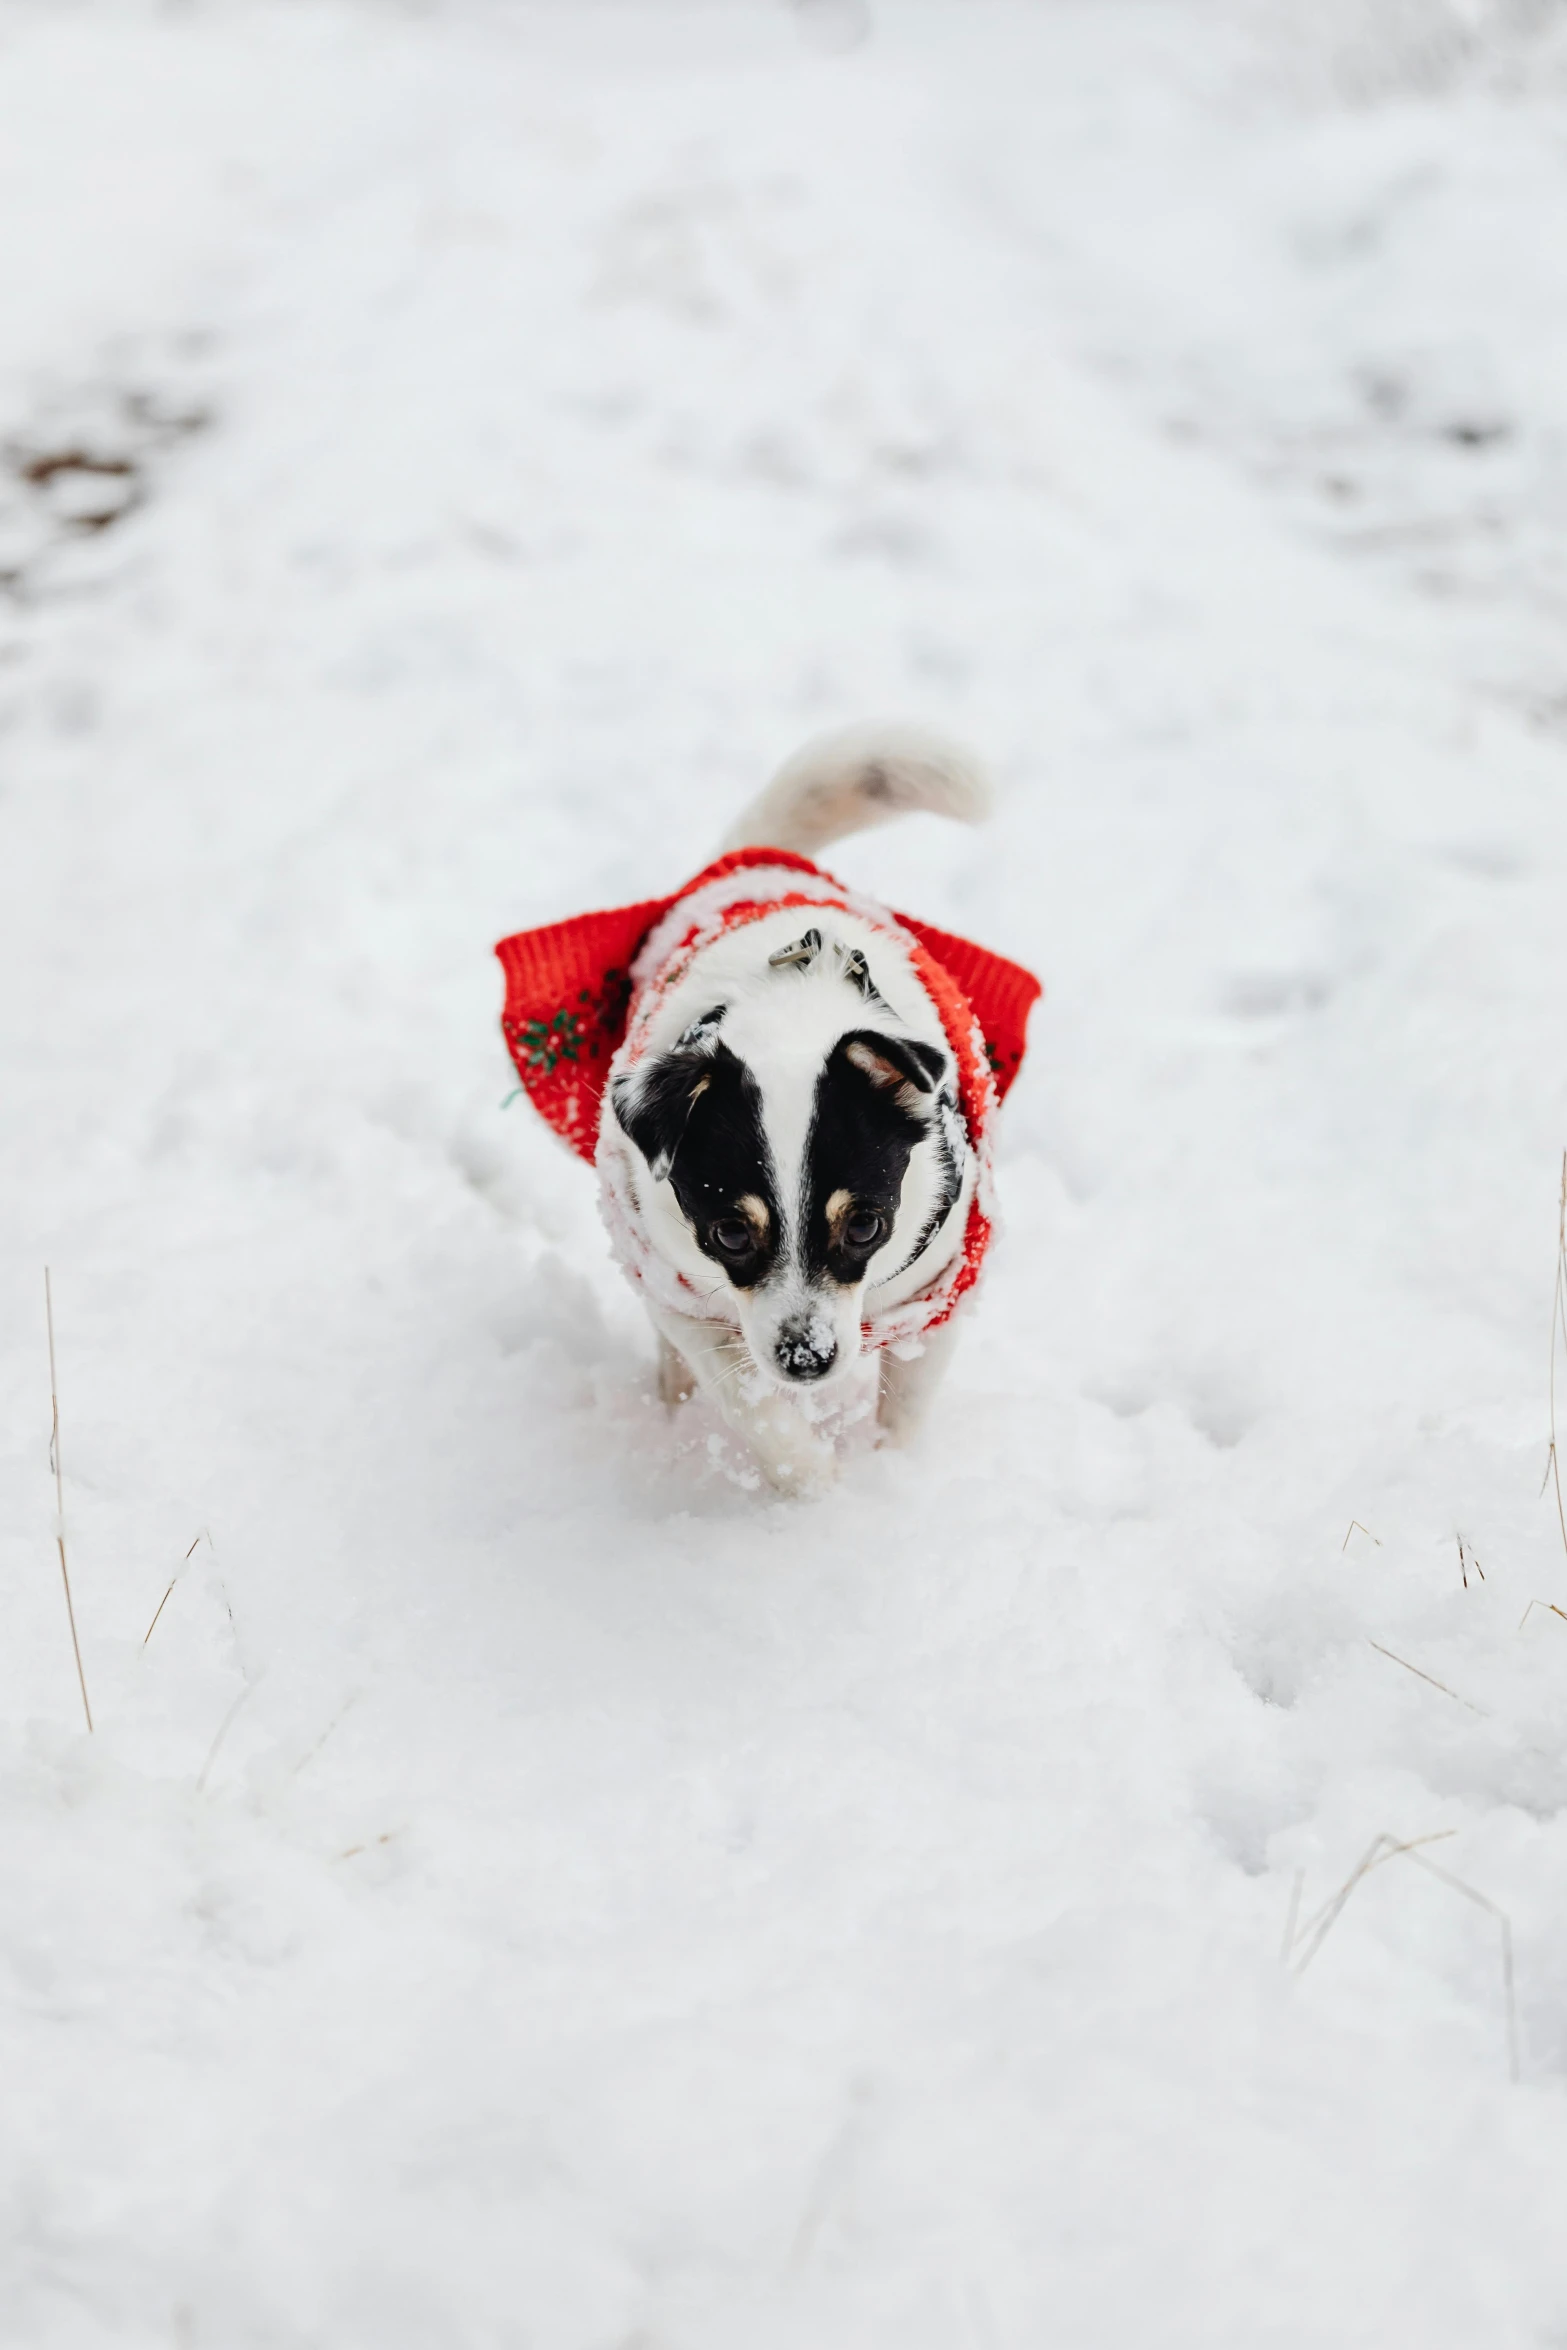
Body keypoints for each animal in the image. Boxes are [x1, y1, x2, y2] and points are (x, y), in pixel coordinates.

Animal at [500, 714, 1043, 1485]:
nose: (806, 1358)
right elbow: (753, 1408)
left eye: (865, 1226)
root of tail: (757, 864)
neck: (792, 1011)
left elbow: (905, 1408)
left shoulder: (941, 1289)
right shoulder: (682, 1290)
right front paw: (816, 1485)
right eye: (731, 1232)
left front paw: (888, 1478)